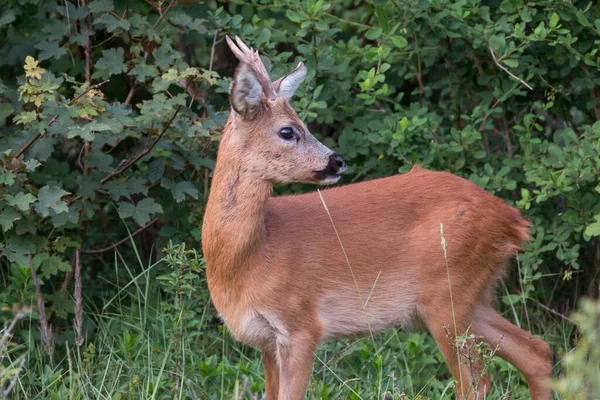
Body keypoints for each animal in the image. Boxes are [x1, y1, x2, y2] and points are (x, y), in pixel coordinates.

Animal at [203, 35, 552, 400]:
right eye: (287, 131)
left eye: (303, 124)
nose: (337, 161)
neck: (252, 255)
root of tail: (513, 220)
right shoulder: (267, 341)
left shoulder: (301, 325)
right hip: (473, 296)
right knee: (536, 351)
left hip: (448, 292)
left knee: (477, 382)